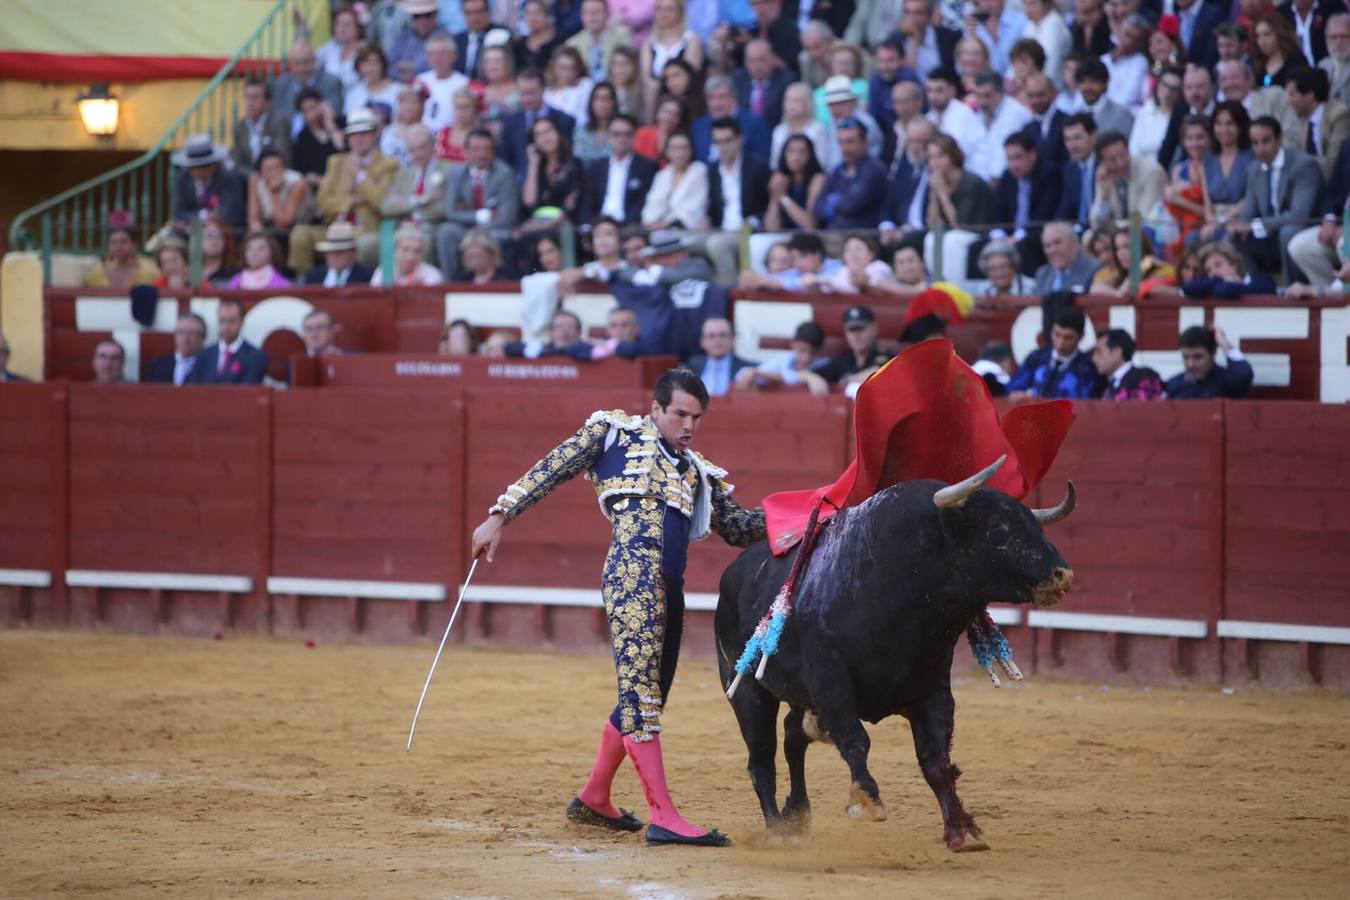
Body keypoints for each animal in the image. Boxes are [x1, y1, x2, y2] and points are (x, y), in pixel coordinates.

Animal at [718, 461, 1074, 858]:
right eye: (999, 527)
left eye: (1032, 523)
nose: (1062, 574)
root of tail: (733, 572)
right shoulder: (830, 679)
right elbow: (855, 738)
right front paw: (866, 800)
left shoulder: (934, 690)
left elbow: (936, 761)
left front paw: (962, 831)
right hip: (747, 689)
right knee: (761, 758)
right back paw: (780, 831)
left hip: (797, 693)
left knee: (793, 736)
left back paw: (797, 814)